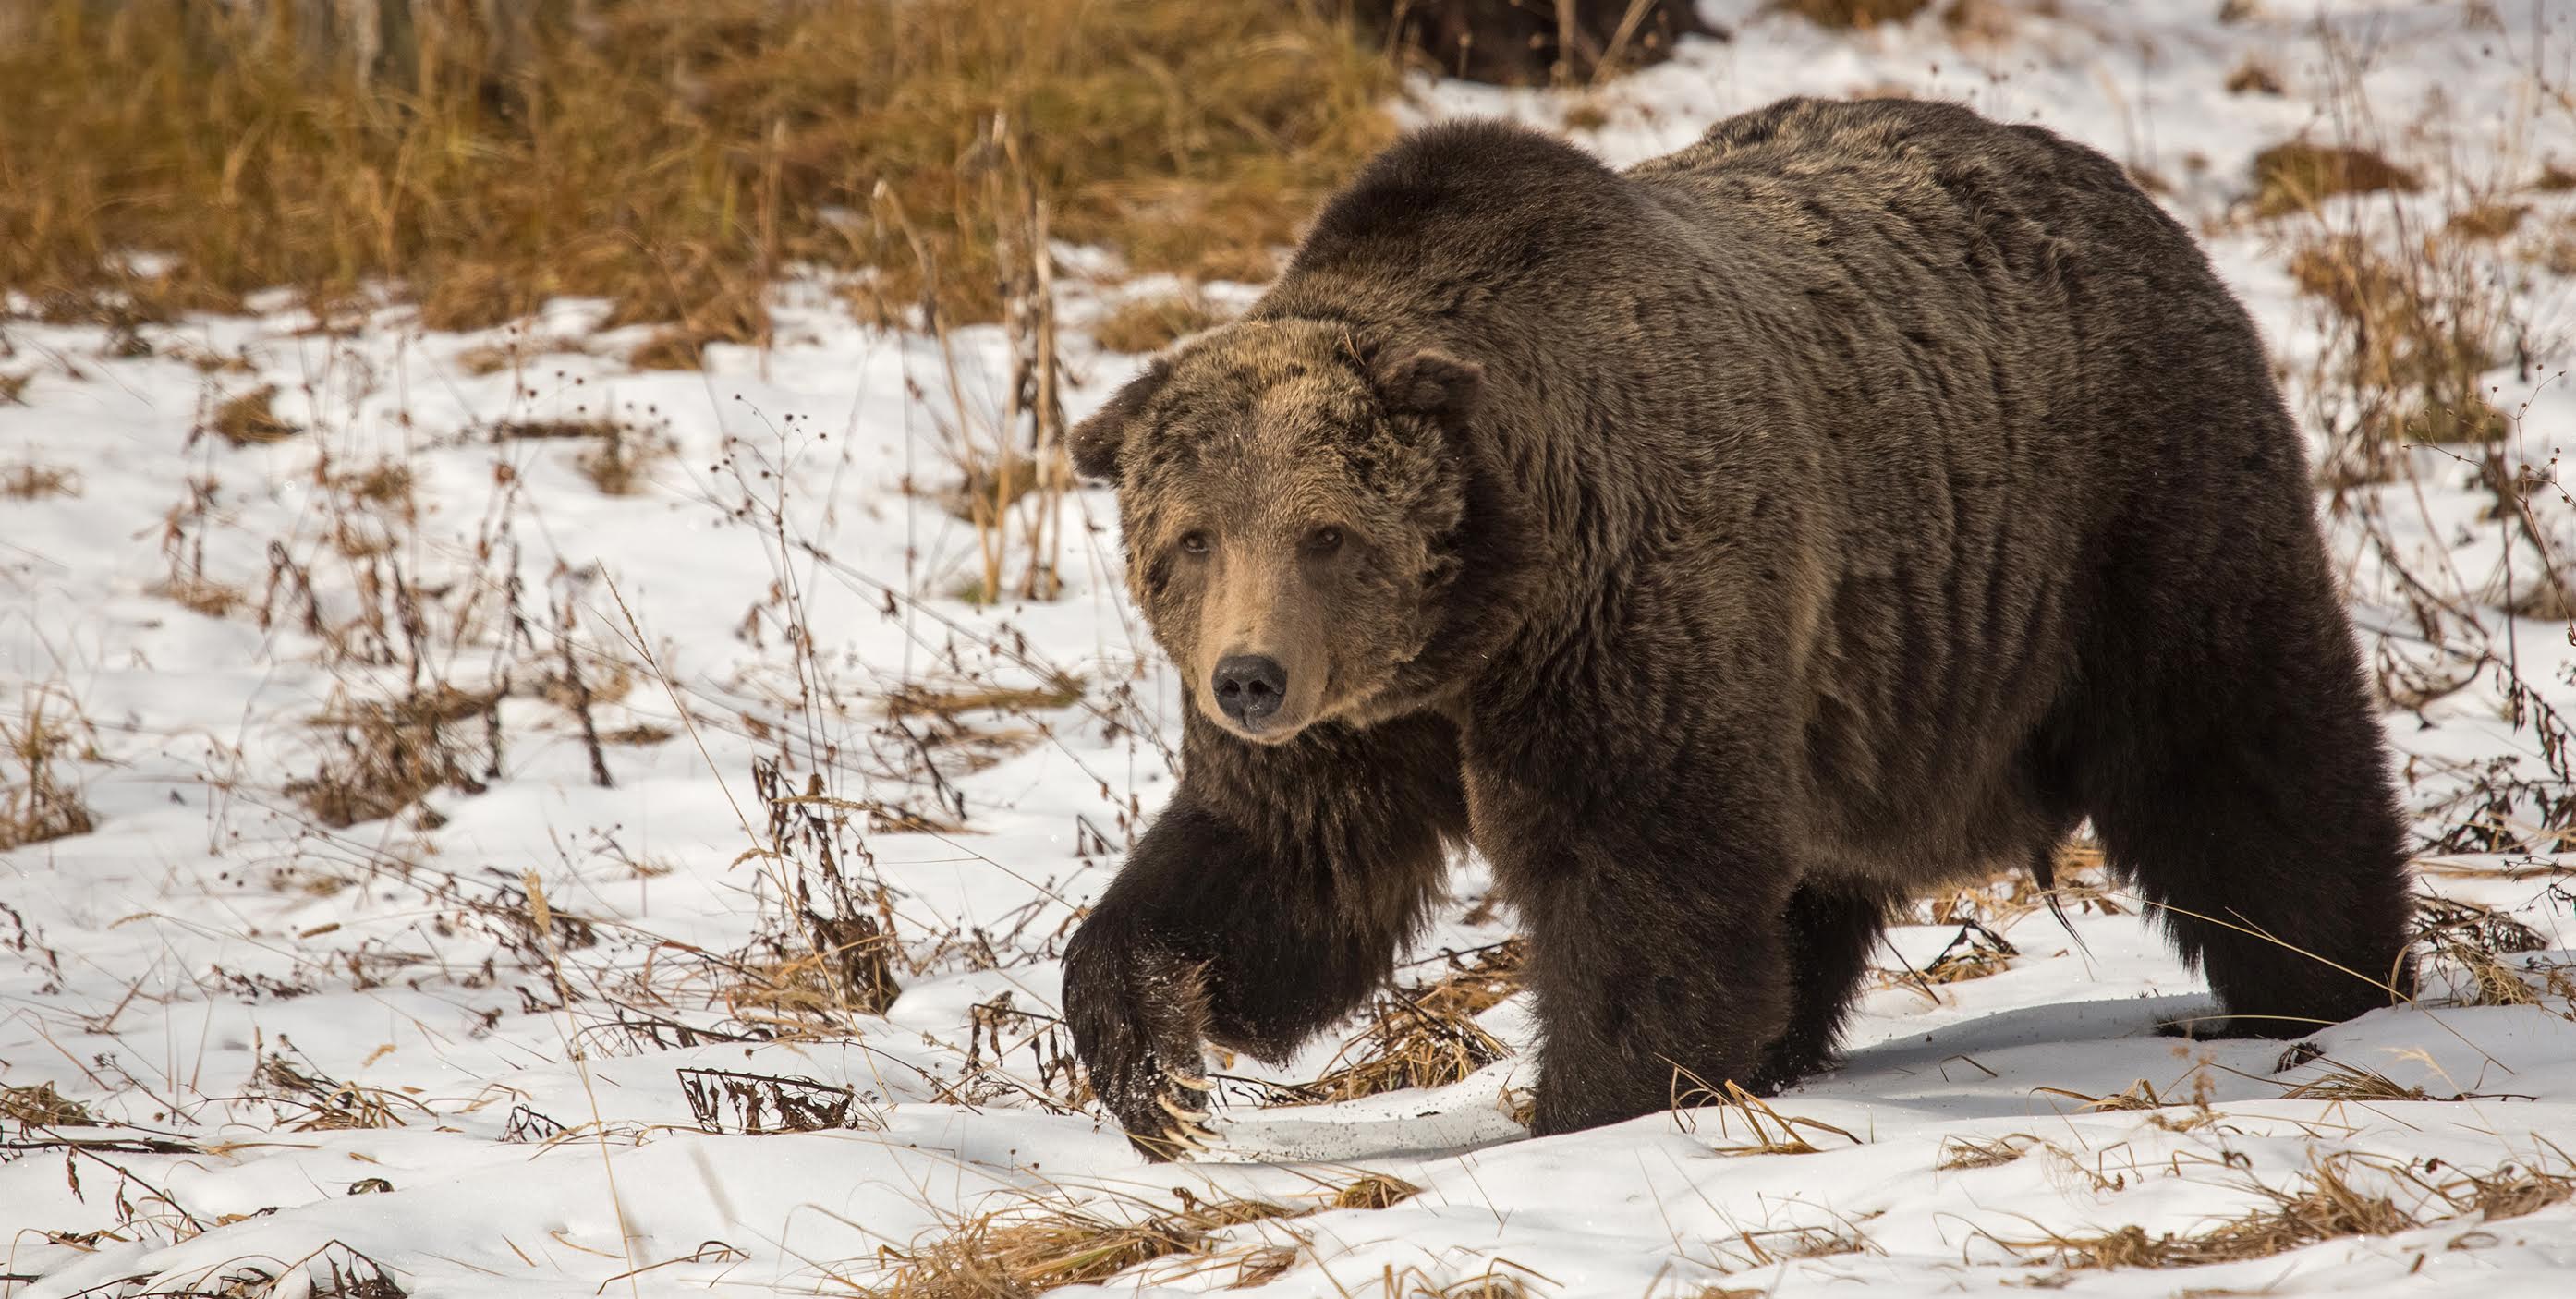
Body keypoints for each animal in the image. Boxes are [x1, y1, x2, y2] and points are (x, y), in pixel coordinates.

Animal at [1056, 99, 2421, 1154]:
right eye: (1191, 538)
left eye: (1325, 532)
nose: (1249, 679)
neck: (1484, 613)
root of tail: (2130, 197)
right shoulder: (1374, 718)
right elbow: (1282, 863)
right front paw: (1155, 1061)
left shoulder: (1624, 615)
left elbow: (1640, 882)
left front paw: (1594, 1103)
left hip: (2121, 519)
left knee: (2239, 753)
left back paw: (2318, 989)